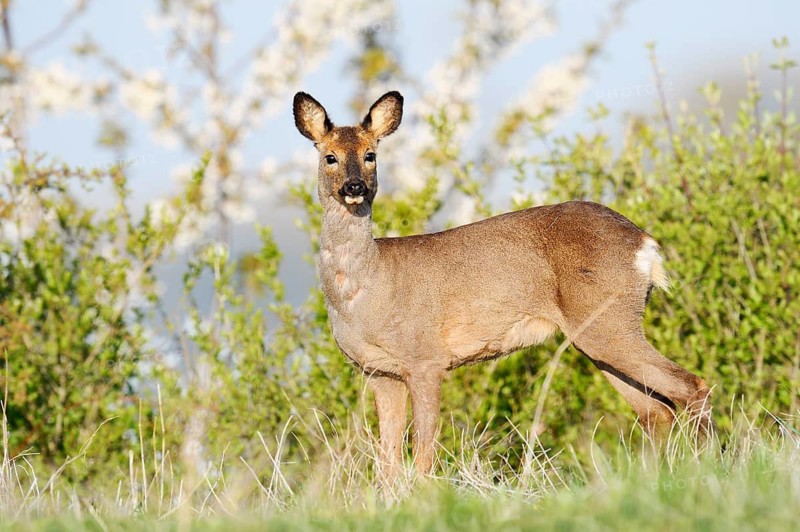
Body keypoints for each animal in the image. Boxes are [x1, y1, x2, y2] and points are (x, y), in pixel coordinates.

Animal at [292, 90, 712, 480]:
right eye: (329, 157)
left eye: (370, 155)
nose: (355, 187)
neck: (365, 292)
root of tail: (645, 243)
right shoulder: (380, 372)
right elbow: (387, 462)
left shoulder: (425, 359)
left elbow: (423, 451)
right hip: (596, 332)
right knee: (656, 411)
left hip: (607, 320)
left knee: (691, 386)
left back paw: (707, 467)